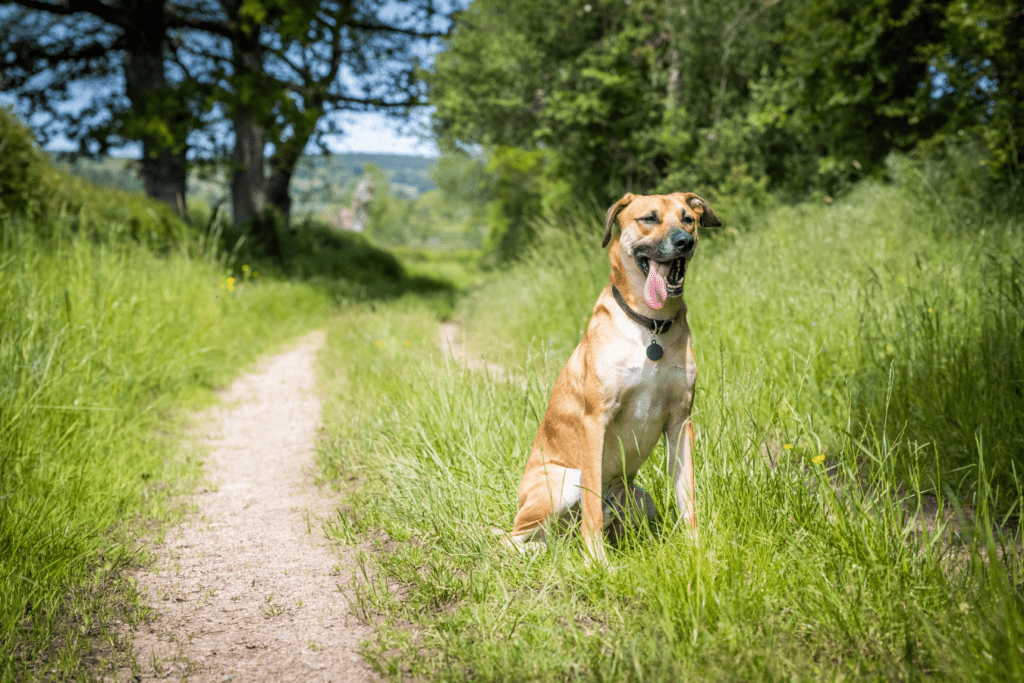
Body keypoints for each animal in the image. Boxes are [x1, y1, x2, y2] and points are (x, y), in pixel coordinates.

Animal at [495, 191, 720, 565]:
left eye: (688, 218)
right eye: (649, 218)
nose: (684, 242)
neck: (650, 326)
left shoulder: (681, 420)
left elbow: (687, 497)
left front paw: (697, 550)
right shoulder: (596, 418)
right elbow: (592, 511)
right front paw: (598, 563)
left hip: (639, 496)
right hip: (562, 484)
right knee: (512, 539)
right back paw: (544, 551)